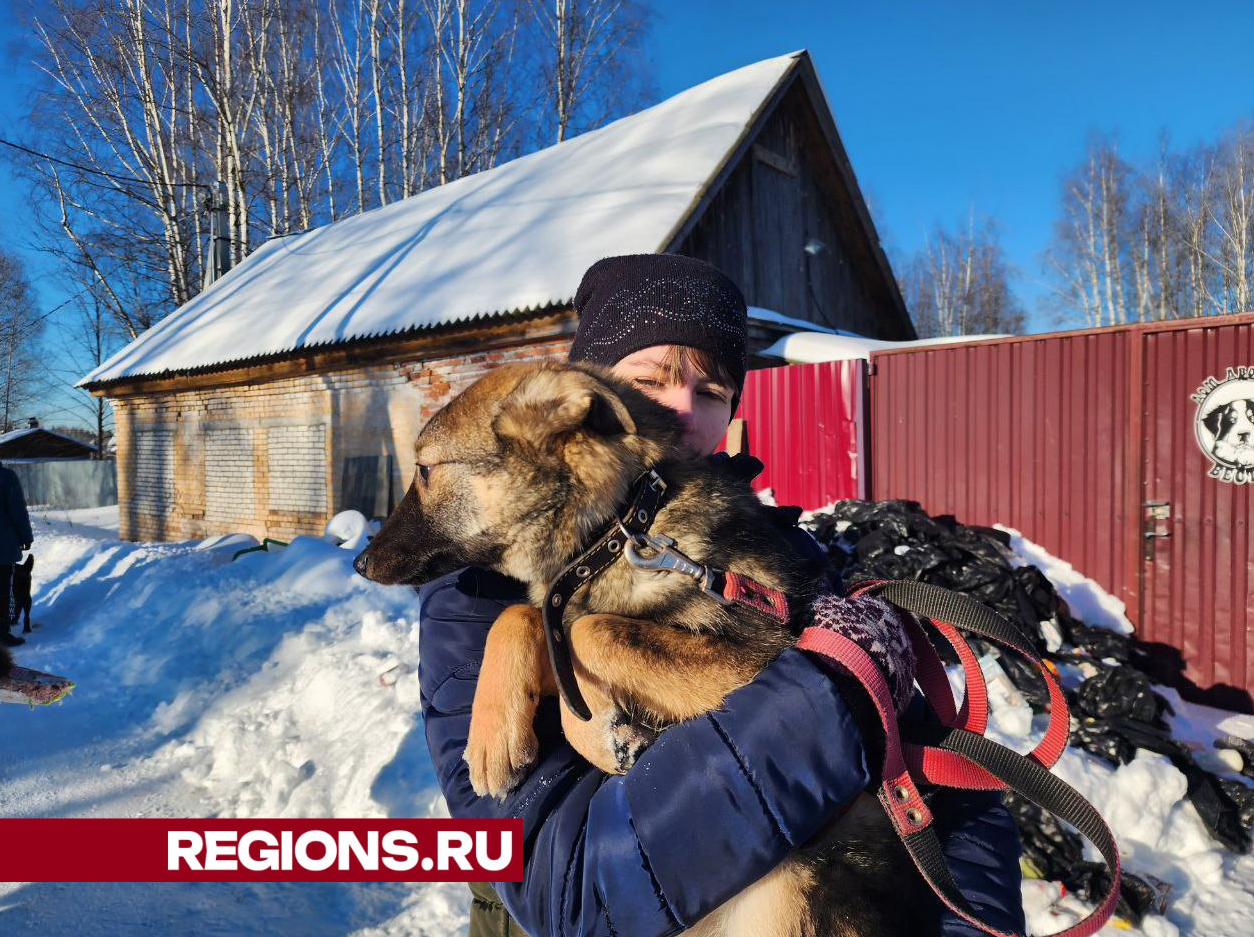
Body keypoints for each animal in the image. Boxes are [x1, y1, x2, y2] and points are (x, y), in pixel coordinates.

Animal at [353, 361, 943, 937]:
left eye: (424, 470)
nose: (359, 561)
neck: (620, 525)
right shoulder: (559, 609)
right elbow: (523, 615)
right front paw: (497, 731)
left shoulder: (767, 648)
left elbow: (592, 630)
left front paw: (595, 733)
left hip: (791, 897)